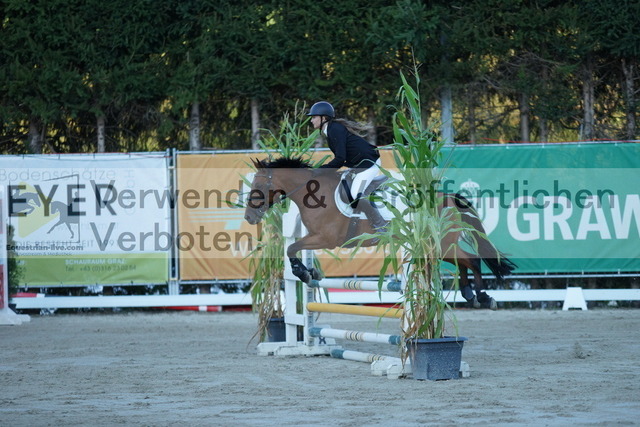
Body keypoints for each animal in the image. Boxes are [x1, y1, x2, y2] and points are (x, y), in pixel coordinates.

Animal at [242, 155, 516, 310]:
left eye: (258, 186)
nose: (249, 217)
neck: (313, 194)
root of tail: (446, 197)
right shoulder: (316, 238)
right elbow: (293, 247)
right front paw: (309, 272)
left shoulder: (326, 239)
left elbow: (291, 247)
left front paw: (304, 273)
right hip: (439, 245)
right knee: (464, 262)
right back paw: (470, 294)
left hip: (438, 244)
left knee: (473, 260)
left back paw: (482, 297)